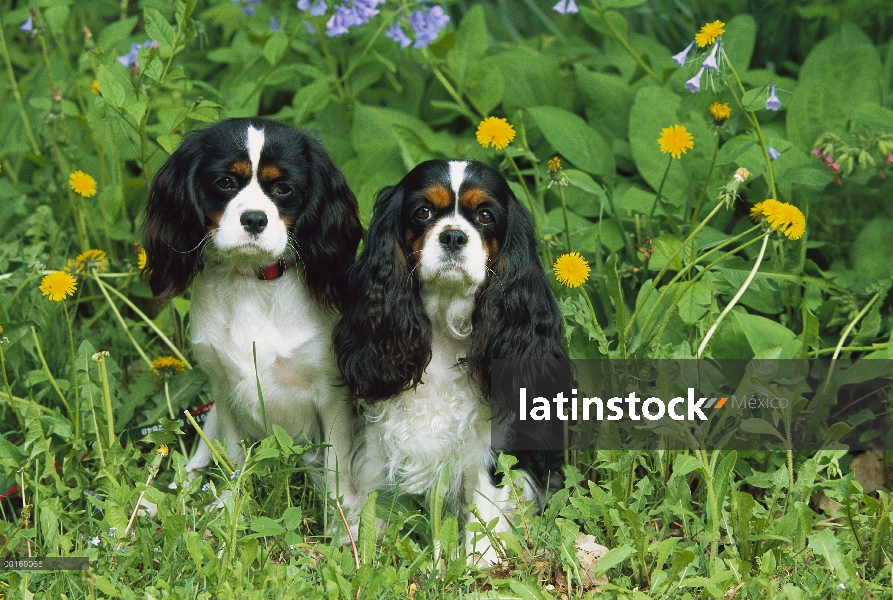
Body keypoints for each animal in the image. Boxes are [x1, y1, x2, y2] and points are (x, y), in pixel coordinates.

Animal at [142, 118, 362, 520]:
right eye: (225, 182)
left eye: (283, 188)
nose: (255, 219)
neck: (252, 281)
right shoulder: (223, 389)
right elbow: (231, 457)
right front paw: (227, 504)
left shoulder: (332, 394)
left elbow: (337, 466)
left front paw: (345, 522)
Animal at [332, 158, 568, 564]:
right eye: (423, 212)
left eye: (486, 216)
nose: (454, 236)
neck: (443, 325)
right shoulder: (380, 430)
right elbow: (373, 490)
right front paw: (367, 544)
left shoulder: (491, 444)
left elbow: (484, 502)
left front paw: (481, 562)